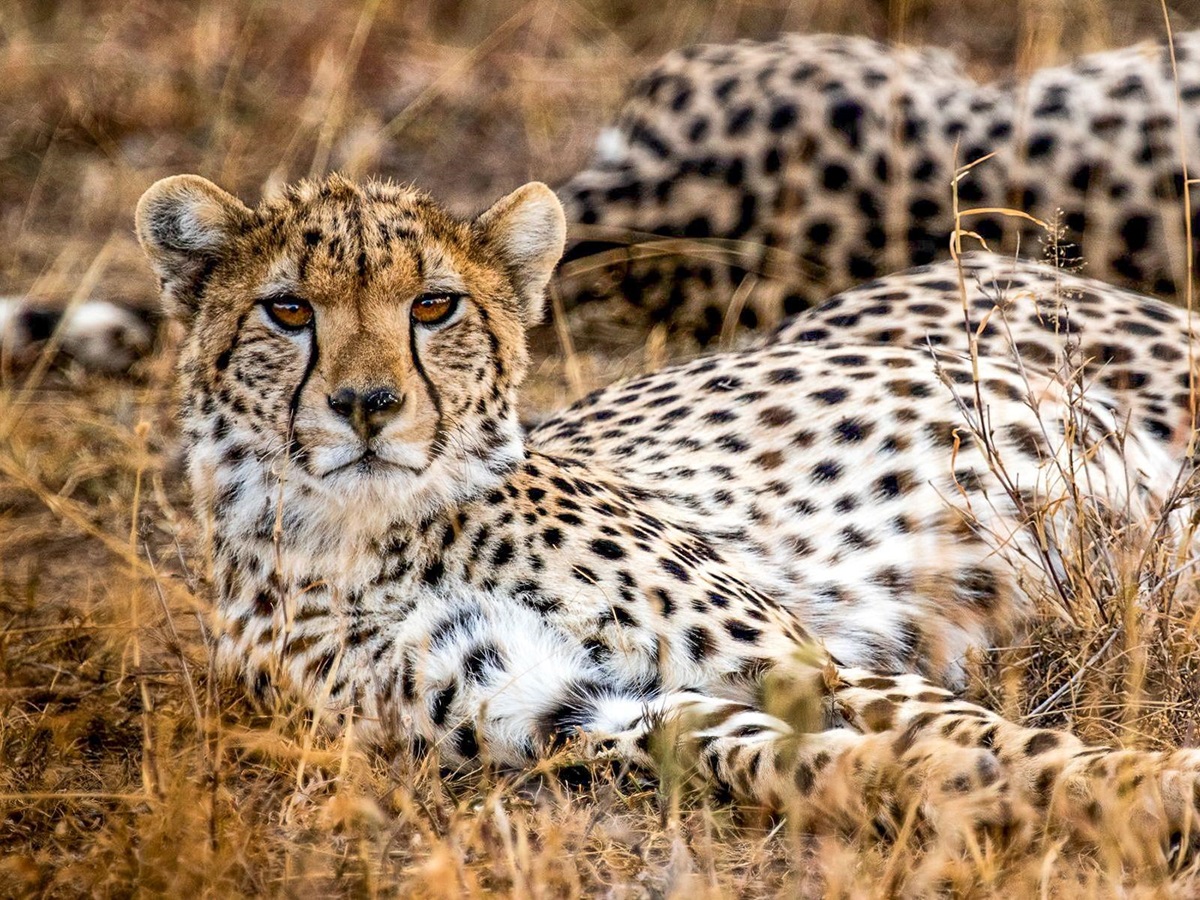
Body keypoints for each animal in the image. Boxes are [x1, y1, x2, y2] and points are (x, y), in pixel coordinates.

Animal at [135, 170, 1200, 858]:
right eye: (288, 311)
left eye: (435, 306)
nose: (366, 406)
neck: (372, 533)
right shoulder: (567, 704)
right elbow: (824, 760)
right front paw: (954, 790)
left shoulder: (785, 653)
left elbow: (997, 735)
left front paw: (1146, 787)